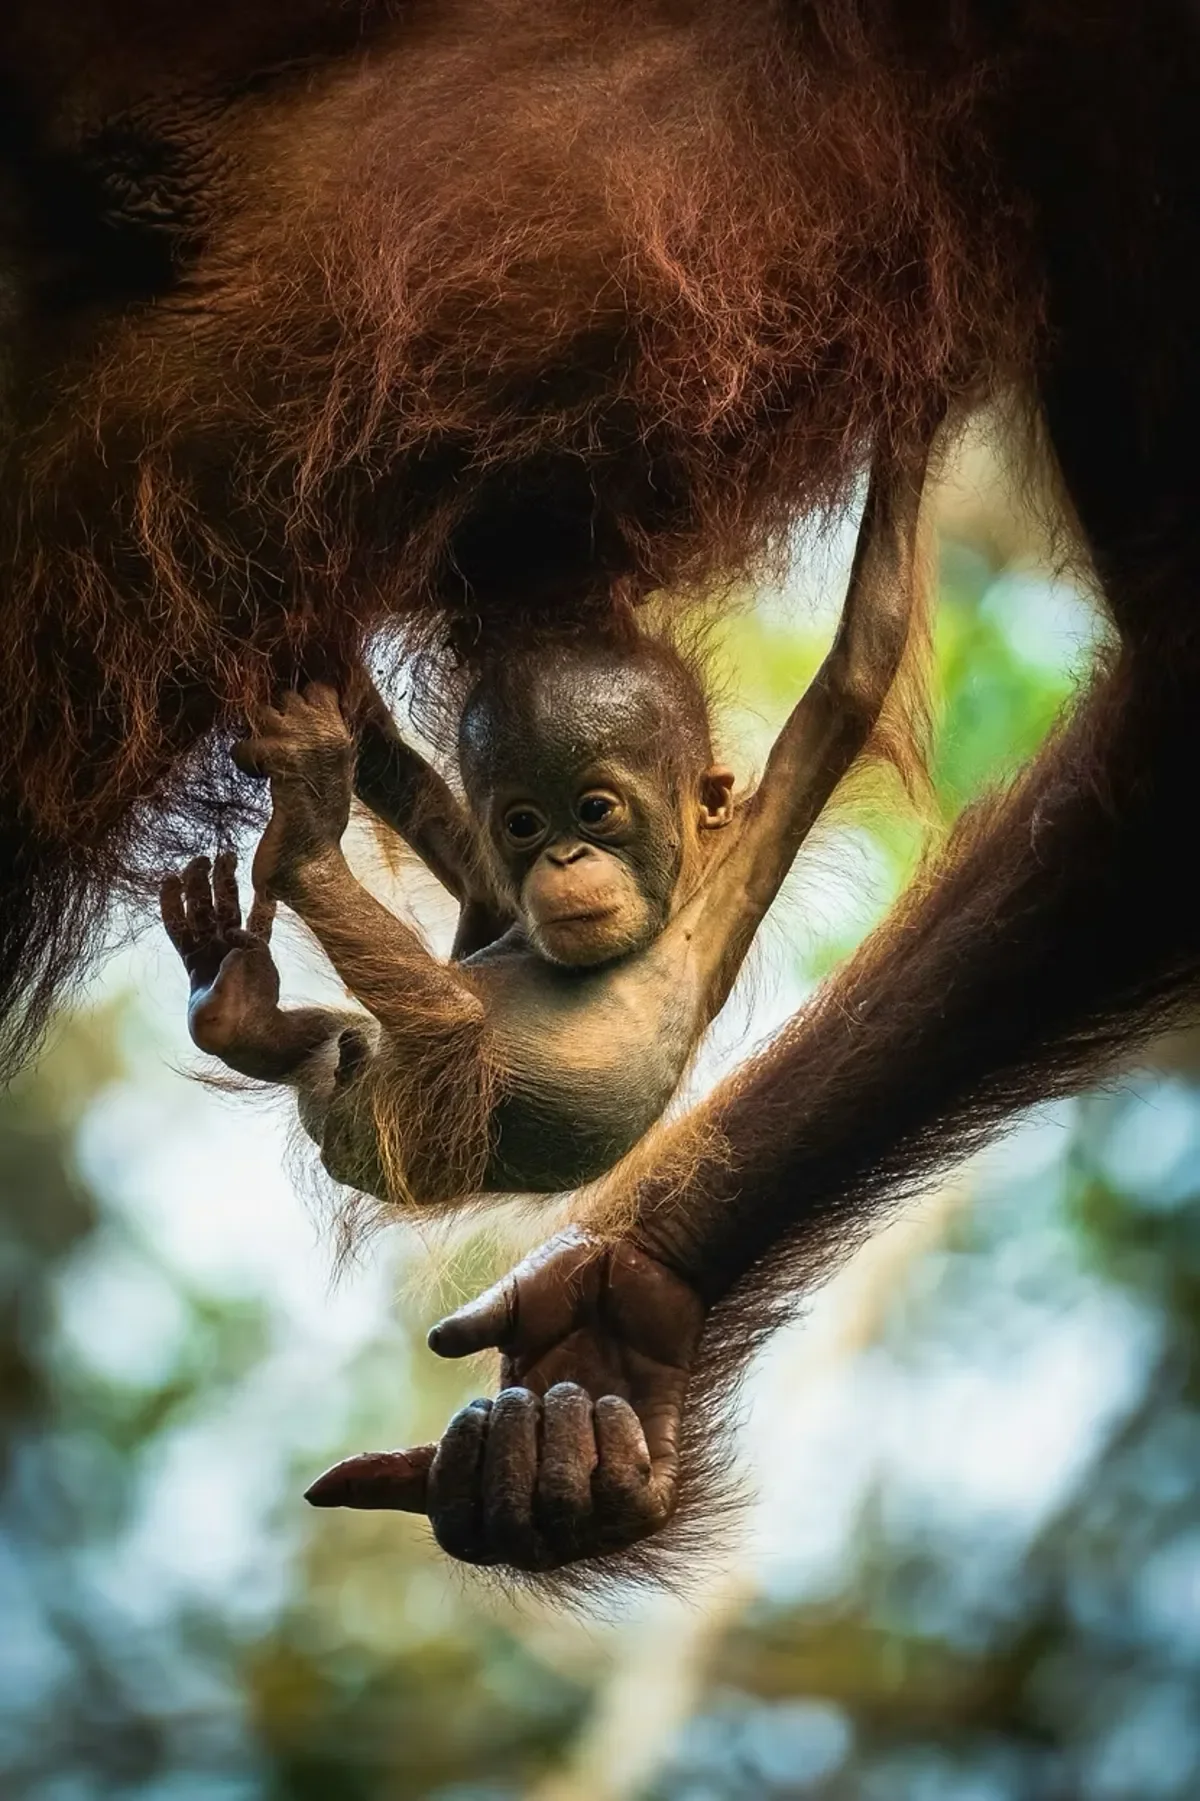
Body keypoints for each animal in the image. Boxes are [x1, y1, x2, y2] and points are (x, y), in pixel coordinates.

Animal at [161, 432, 937, 1217]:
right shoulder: (497, 890)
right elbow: (455, 848)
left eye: (595, 810)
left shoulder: (759, 836)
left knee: (454, 1023)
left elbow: (858, 668)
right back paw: (236, 1001)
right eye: (523, 825)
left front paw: (910, 436)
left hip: (428, 1128)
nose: (564, 858)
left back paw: (302, 853)